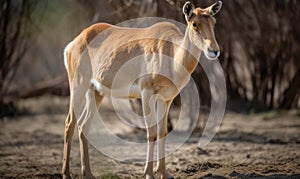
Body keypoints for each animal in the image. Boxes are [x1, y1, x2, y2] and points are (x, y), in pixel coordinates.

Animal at [62, 1, 223, 179]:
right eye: (195, 24)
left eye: (213, 22)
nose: (214, 51)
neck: (171, 53)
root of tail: (75, 42)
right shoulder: (147, 94)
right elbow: (151, 133)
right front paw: (149, 173)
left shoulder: (166, 99)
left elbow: (162, 132)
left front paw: (163, 172)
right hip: (78, 86)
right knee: (69, 123)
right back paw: (66, 174)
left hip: (96, 93)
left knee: (83, 126)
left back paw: (89, 174)